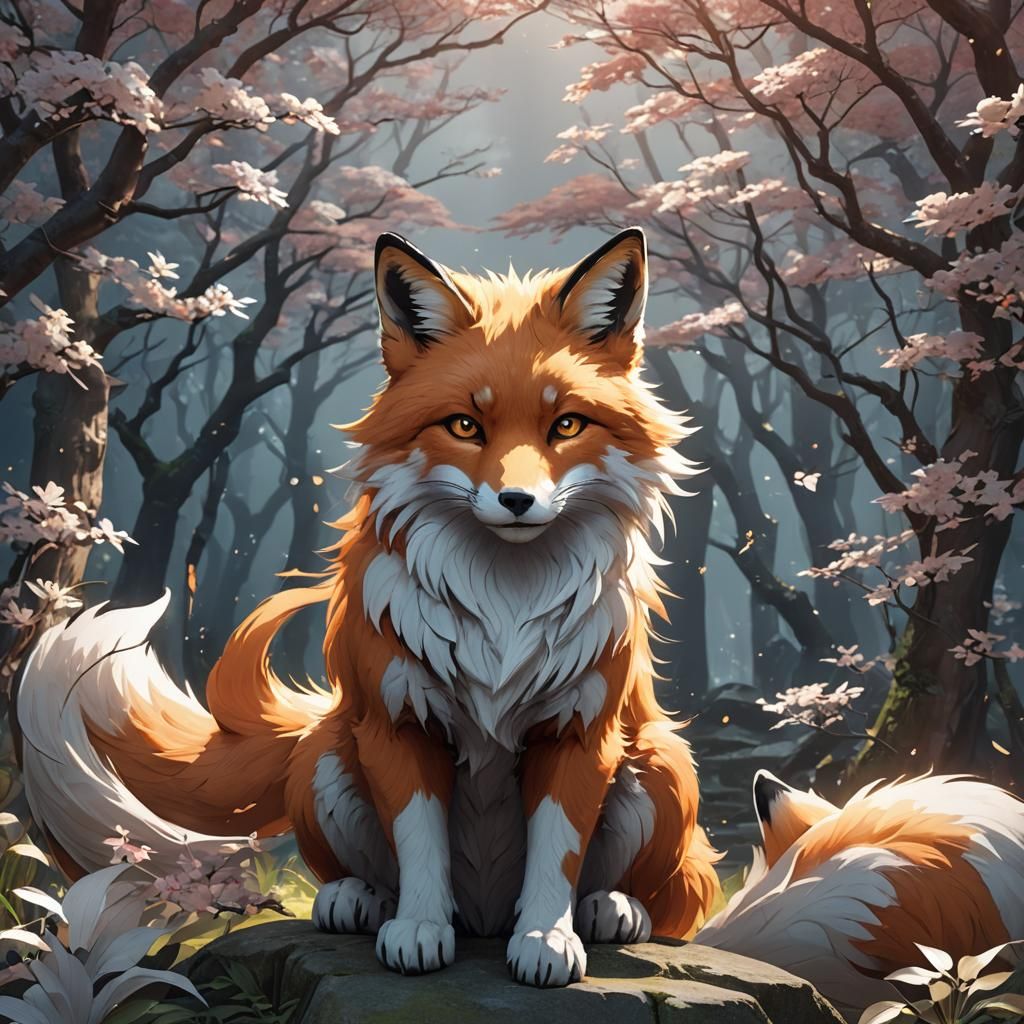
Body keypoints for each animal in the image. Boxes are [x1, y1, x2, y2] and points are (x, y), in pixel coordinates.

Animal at [17, 227, 721, 987]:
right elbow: (418, 844)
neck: (504, 603)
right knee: (361, 868)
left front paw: (545, 939)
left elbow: (556, 853)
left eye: (565, 424)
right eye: (465, 425)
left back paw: (612, 909)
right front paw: (417, 930)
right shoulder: (397, 722)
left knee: (661, 891)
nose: (517, 501)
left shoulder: (581, 732)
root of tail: (483, 918)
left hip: (661, 761)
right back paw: (358, 901)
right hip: (327, 755)